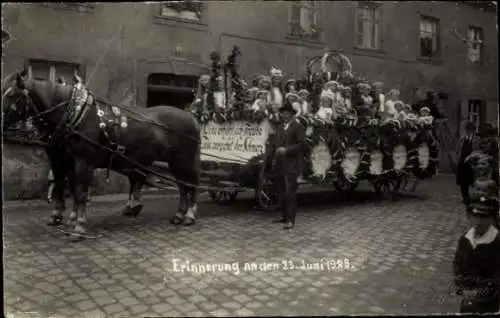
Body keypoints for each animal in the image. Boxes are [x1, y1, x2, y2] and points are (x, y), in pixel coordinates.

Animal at [2, 71, 201, 241]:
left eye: (11, 95)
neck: (75, 114)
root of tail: (191, 118)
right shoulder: (66, 158)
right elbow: (68, 187)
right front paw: (67, 218)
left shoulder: (83, 161)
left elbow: (80, 192)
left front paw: (79, 226)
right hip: (175, 163)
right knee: (182, 187)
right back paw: (178, 215)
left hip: (184, 161)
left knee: (191, 185)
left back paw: (190, 215)